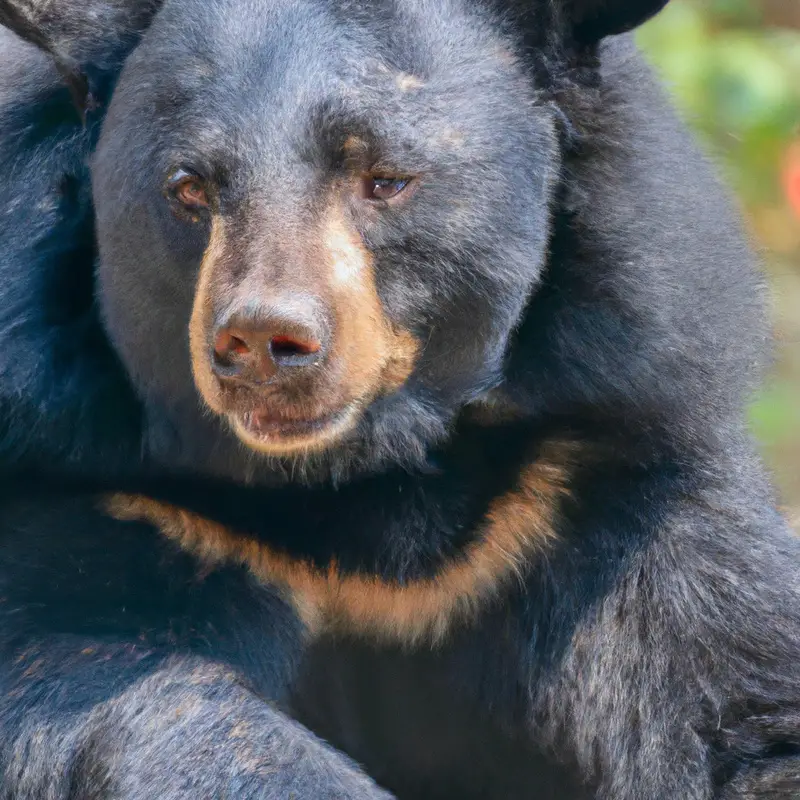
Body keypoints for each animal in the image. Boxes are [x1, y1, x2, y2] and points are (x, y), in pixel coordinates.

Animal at [1, 0, 800, 796]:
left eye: (385, 179)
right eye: (188, 187)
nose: (263, 341)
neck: (360, 485)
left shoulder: (595, 472)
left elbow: (742, 701)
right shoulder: (125, 504)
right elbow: (108, 685)